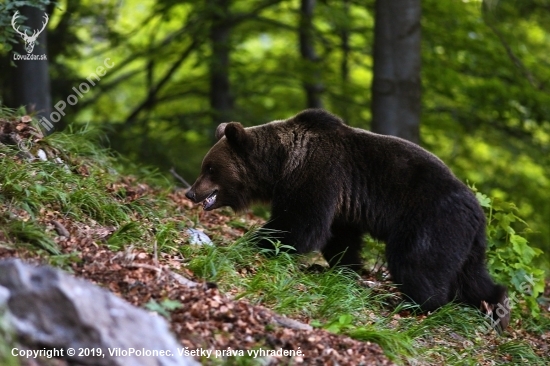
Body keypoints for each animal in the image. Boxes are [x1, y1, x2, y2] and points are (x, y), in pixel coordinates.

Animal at [187, 108, 512, 332]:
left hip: (432, 221)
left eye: (210, 168)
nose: (191, 192)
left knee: (417, 263)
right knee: (470, 276)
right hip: (463, 240)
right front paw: (345, 268)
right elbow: (339, 238)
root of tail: (478, 213)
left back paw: (413, 303)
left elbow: (301, 225)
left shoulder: (318, 174)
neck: (281, 164)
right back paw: (496, 307)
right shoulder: (343, 203)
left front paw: (255, 241)